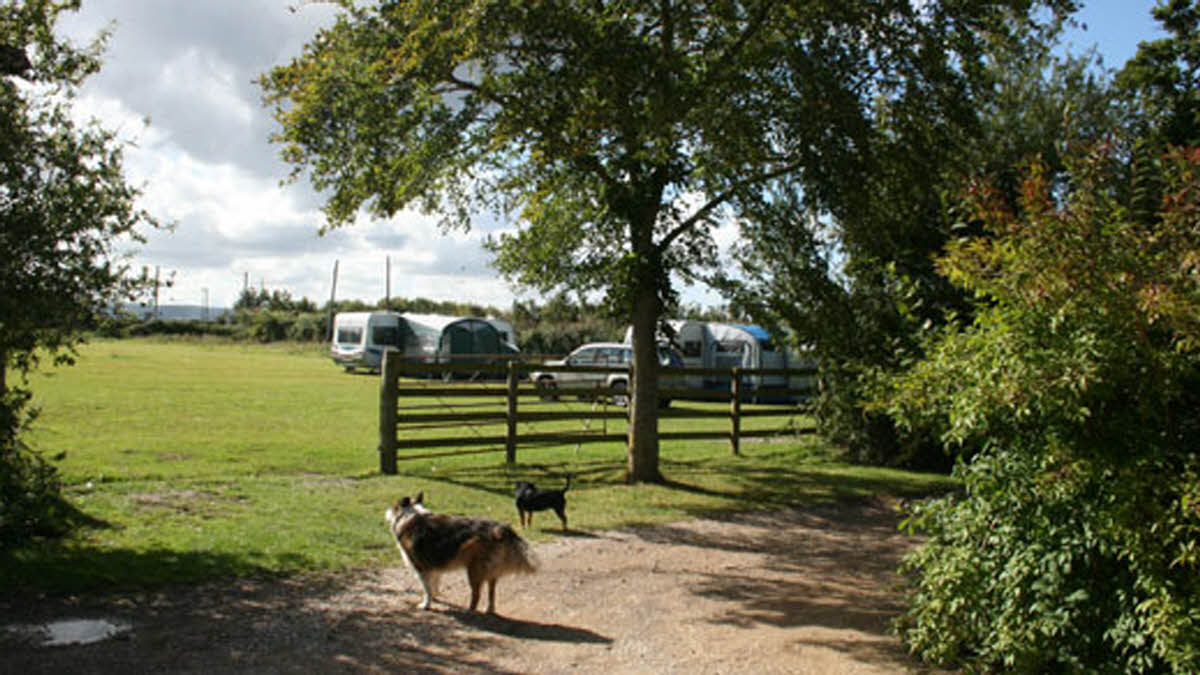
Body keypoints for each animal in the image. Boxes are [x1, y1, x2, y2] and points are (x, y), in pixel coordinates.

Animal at [384, 492, 535, 612]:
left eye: (394, 505)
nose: (386, 512)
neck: (410, 515)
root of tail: (500, 529)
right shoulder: (434, 566)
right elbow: (434, 584)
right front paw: (435, 597)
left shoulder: (422, 568)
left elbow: (427, 589)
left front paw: (426, 605)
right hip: (491, 571)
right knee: (491, 592)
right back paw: (489, 609)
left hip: (475, 570)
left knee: (476, 594)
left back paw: (469, 611)